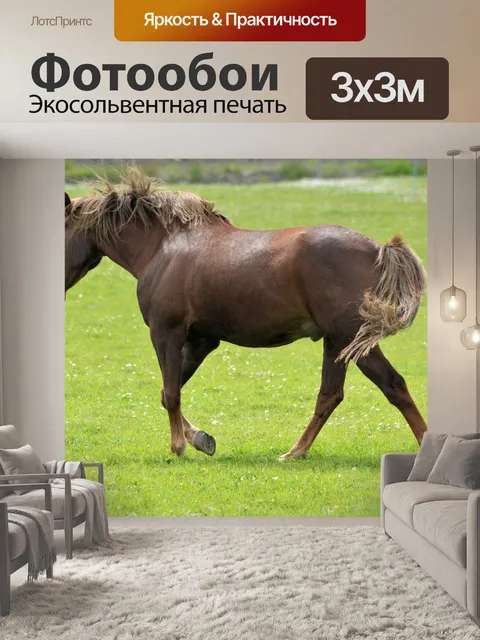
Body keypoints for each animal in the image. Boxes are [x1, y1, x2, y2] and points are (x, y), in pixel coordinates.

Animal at [65, 168, 427, 461]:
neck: (163, 246)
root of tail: (377, 250)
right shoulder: (201, 340)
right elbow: (169, 391)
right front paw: (200, 439)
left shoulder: (166, 332)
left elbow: (171, 392)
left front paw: (178, 446)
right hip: (337, 343)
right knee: (330, 395)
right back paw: (295, 452)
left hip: (351, 338)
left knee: (393, 385)